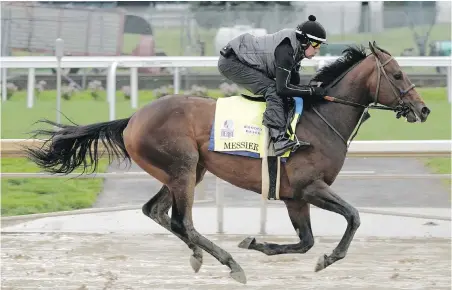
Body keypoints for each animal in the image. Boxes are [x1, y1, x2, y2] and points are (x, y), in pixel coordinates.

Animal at [23, 42, 430, 284]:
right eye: (397, 75)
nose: (423, 109)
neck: (322, 118)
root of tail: (132, 119)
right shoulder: (310, 187)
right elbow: (353, 217)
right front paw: (328, 258)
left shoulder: (294, 196)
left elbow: (306, 242)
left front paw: (260, 244)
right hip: (184, 167)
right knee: (182, 221)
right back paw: (229, 263)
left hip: (186, 170)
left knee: (157, 212)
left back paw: (201, 256)